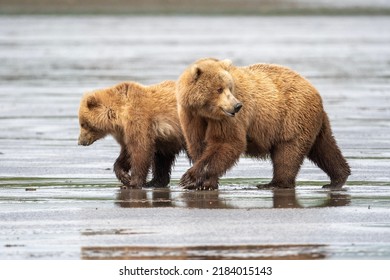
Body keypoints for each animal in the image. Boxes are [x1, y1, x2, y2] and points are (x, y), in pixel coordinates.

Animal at [177, 58, 350, 190]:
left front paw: (190, 178)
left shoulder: (227, 119)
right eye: (219, 89)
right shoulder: (192, 116)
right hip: (314, 121)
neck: (205, 111)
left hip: (291, 118)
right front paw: (205, 183)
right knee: (324, 147)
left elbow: (226, 142)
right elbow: (199, 145)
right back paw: (339, 177)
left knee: (288, 153)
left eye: (230, 88)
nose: (237, 106)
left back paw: (275, 183)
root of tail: (313, 89)